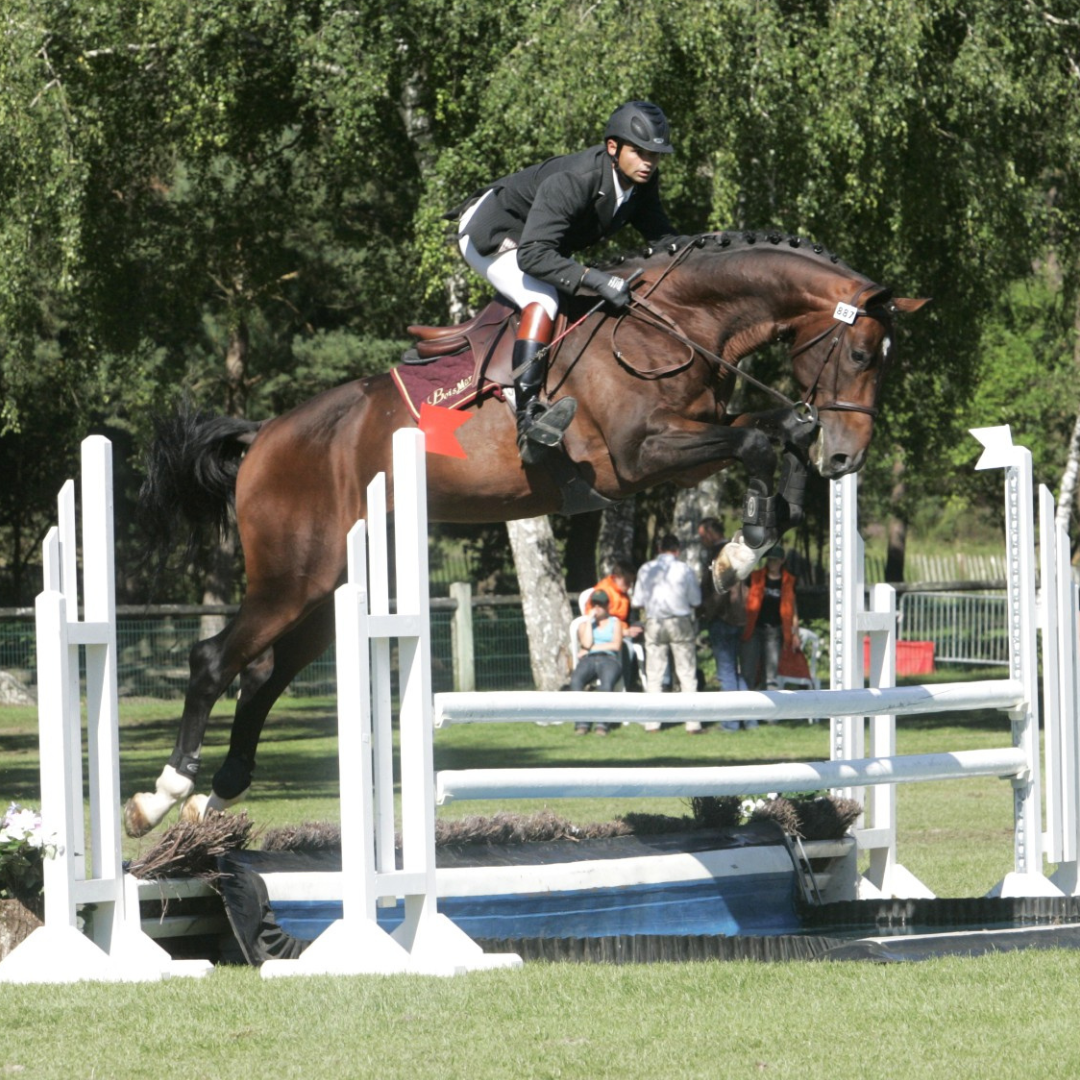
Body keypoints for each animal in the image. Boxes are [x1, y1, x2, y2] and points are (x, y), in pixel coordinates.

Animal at [124, 230, 928, 836]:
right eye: (860, 356)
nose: (848, 459)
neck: (674, 321)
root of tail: (263, 437)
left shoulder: (693, 436)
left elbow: (776, 431)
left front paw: (753, 538)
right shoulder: (637, 458)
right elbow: (763, 438)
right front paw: (742, 546)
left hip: (328, 593)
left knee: (261, 675)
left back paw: (216, 795)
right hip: (293, 578)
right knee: (212, 661)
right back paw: (160, 795)